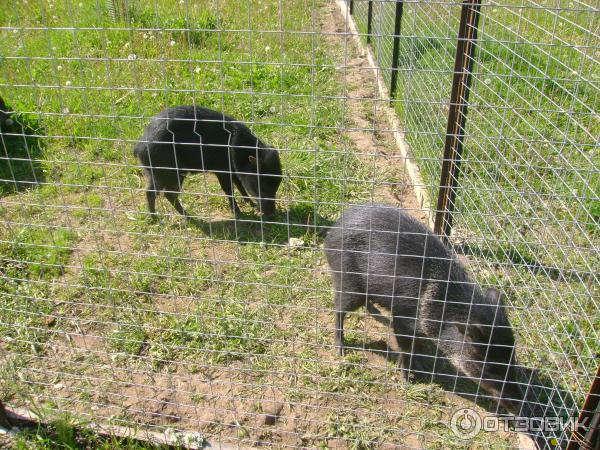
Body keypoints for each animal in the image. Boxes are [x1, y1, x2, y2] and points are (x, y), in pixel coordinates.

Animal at [134, 105, 282, 218]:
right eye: (262, 186)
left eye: (276, 186)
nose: (272, 215)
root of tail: (139, 147)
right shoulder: (221, 170)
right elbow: (229, 190)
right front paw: (238, 214)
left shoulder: (233, 170)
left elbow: (240, 185)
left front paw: (252, 205)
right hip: (169, 172)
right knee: (165, 194)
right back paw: (182, 217)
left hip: (158, 174)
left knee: (154, 192)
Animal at [326, 204, 528, 414]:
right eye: (490, 369)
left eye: (512, 361)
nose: (519, 405)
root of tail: (334, 229)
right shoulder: (402, 317)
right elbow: (405, 349)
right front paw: (406, 380)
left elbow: (417, 346)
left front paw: (422, 367)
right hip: (348, 283)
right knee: (339, 310)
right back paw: (340, 349)